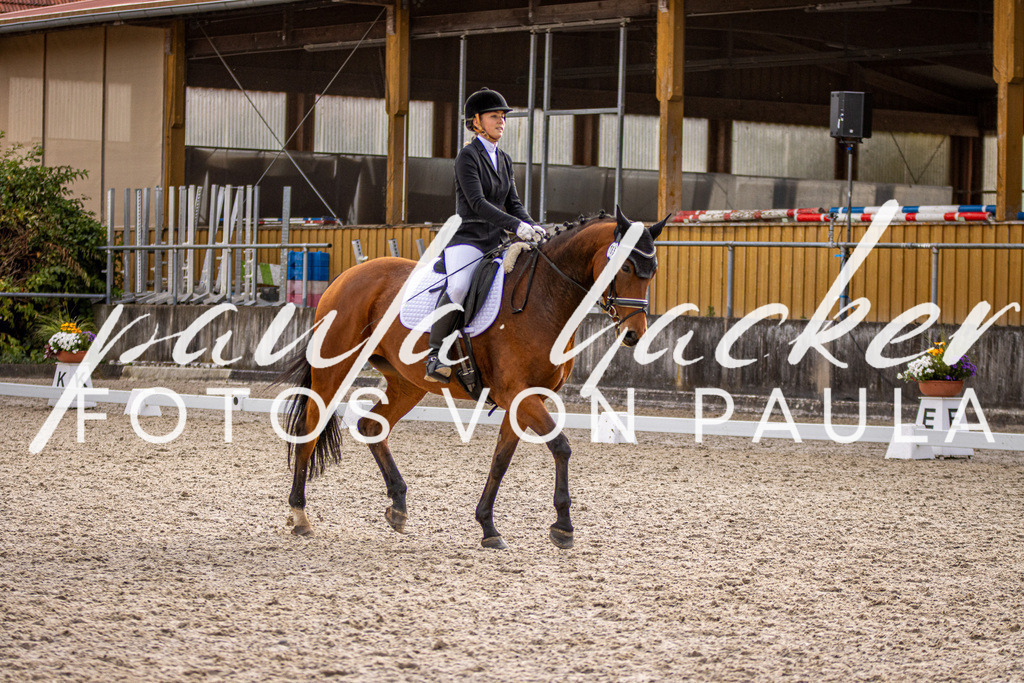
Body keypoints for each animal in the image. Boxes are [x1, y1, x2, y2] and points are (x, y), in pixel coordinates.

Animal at [282, 207, 666, 549]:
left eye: (653, 272)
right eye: (625, 266)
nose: (633, 334)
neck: (545, 297)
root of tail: (346, 277)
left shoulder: (526, 399)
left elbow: (500, 461)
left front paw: (488, 528)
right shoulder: (519, 395)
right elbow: (561, 446)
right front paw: (563, 527)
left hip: (408, 383)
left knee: (372, 426)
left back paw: (398, 507)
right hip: (334, 370)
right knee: (309, 430)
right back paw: (300, 516)